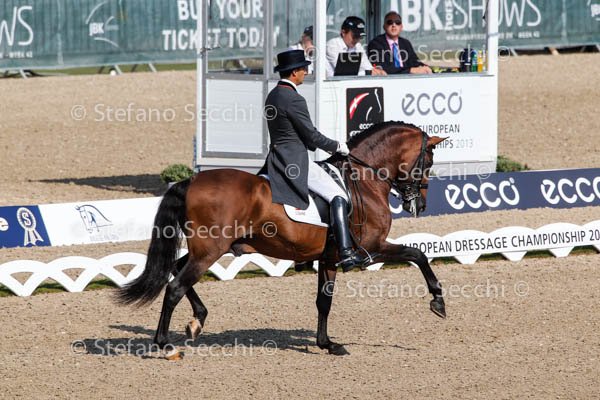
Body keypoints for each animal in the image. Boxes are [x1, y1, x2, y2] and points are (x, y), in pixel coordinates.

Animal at [116, 121, 446, 359]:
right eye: (428, 162)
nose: (420, 205)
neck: (365, 179)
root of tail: (192, 180)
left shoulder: (329, 258)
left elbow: (324, 302)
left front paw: (327, 344)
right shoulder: (373, 248)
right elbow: (418, 254)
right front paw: (438, 301)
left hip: (206, 250)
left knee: (176, 271)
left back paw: (197, 321)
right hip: (209, 251)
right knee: (174, 288)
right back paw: (167, 345)